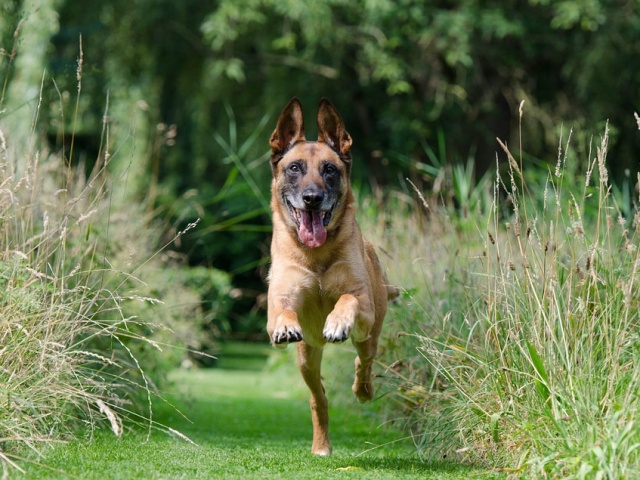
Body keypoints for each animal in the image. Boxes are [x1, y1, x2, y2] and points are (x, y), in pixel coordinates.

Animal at [266, 96, 398, 454]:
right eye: (294, 168)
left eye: (329, 169)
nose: (312, 198)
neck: (316, 256)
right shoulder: (281, 299)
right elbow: (282, 311)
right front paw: (285, 325)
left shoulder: (362, 303)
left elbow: (348, 298)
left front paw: (337, 321)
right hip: (307, 358)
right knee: (319, 398)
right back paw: (321, 445)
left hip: (369, 335)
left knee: (363, 363)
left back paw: (363, 390)